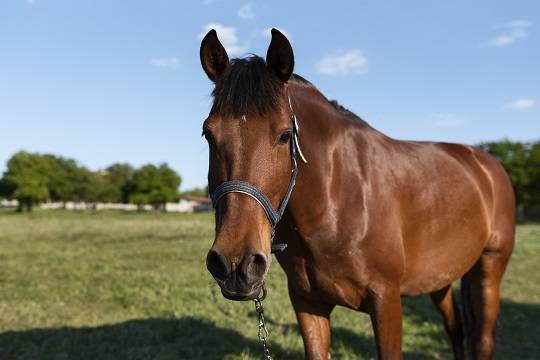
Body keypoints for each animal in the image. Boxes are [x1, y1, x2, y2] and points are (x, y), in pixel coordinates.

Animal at [198, 28, 516, 360]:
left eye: (285, 135)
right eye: (209, 134)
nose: (236, 264)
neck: (336, 201)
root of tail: (486, 164)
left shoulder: (386, 300)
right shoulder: (307, 302)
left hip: (489, 268)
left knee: (482, 339)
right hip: (439, 278)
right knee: (455, 329)